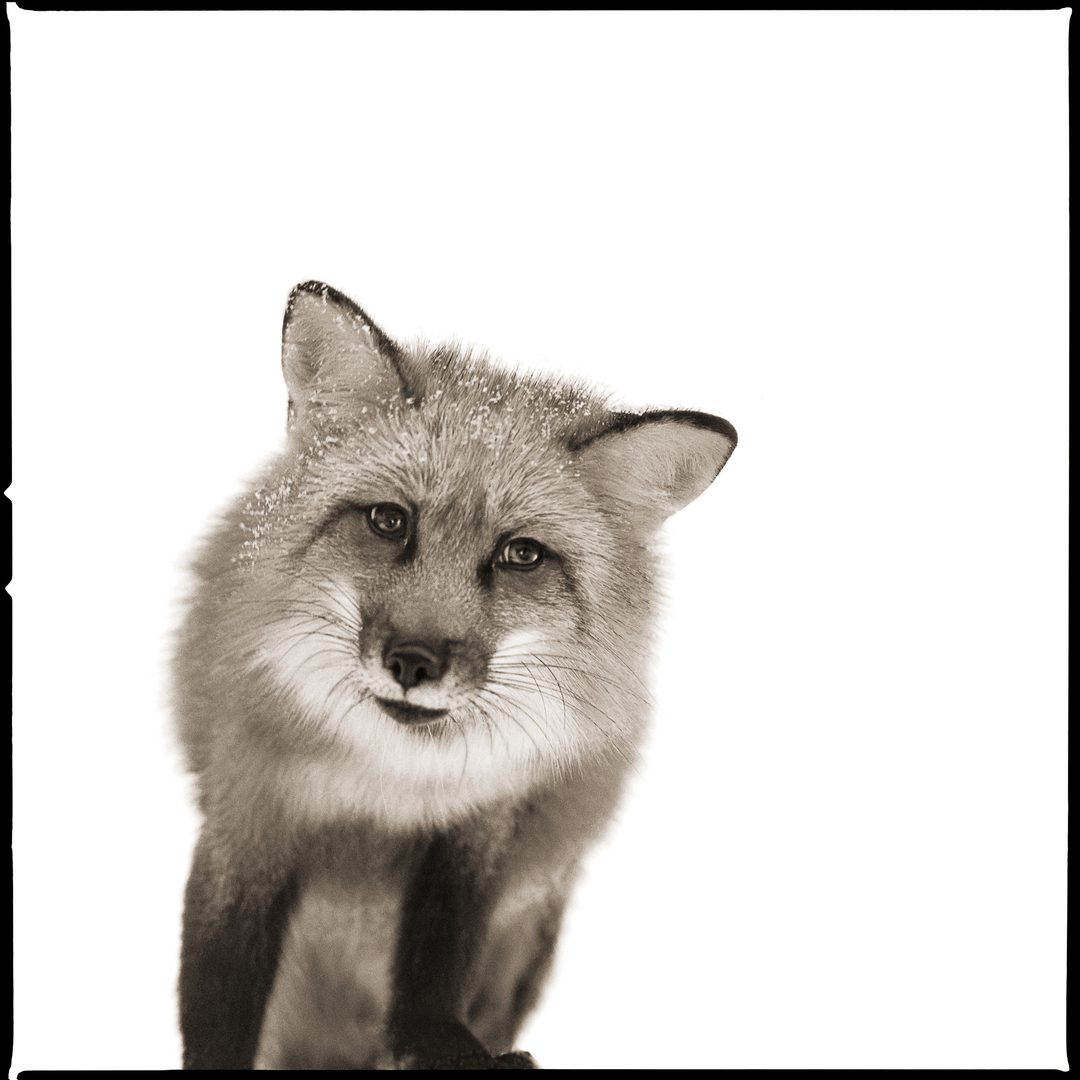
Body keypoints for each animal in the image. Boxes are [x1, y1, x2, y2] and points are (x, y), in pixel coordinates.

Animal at [173, 280, 737, 1070]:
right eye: (389, 520)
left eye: (521, 555)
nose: (414, 662)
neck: (391, 783)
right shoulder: (249, 816)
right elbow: (219, 989)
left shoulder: (478, 827)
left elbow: (438, 956)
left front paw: (436, 1040)